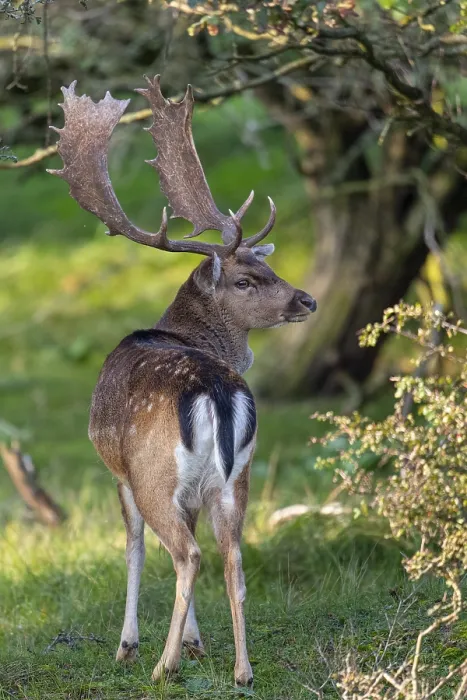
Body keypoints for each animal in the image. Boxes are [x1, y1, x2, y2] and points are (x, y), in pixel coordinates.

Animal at [48, 75, 316, 686]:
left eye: (266, 269)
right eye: (248, 278)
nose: (307, 299)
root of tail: (217, 388)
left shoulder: (118, 470)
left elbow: (132, 546)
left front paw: (130, 645)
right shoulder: (198, 486)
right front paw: (196, 642)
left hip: (153, 471)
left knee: (186, 552)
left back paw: (160, 666)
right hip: (238, 475)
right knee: (232, 553)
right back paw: (242, 670)